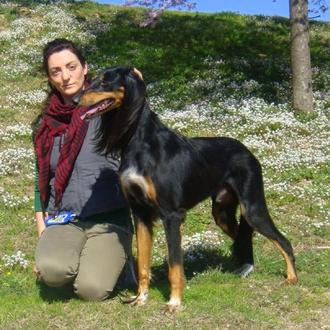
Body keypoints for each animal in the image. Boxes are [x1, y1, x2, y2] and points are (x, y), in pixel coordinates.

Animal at [78, 65, 300, 312]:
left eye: (105, 82)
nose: (77, 99)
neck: (140, 142)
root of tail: (247, 150)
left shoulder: (172, 215)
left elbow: (175, 266)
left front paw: (174, 302)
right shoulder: (140, 213)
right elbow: (143, 263)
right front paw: (141, 298)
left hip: (253, 208)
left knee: (283, 241)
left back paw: (291, 277)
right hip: (222, 212)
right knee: (243, 237)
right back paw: (245, 267)